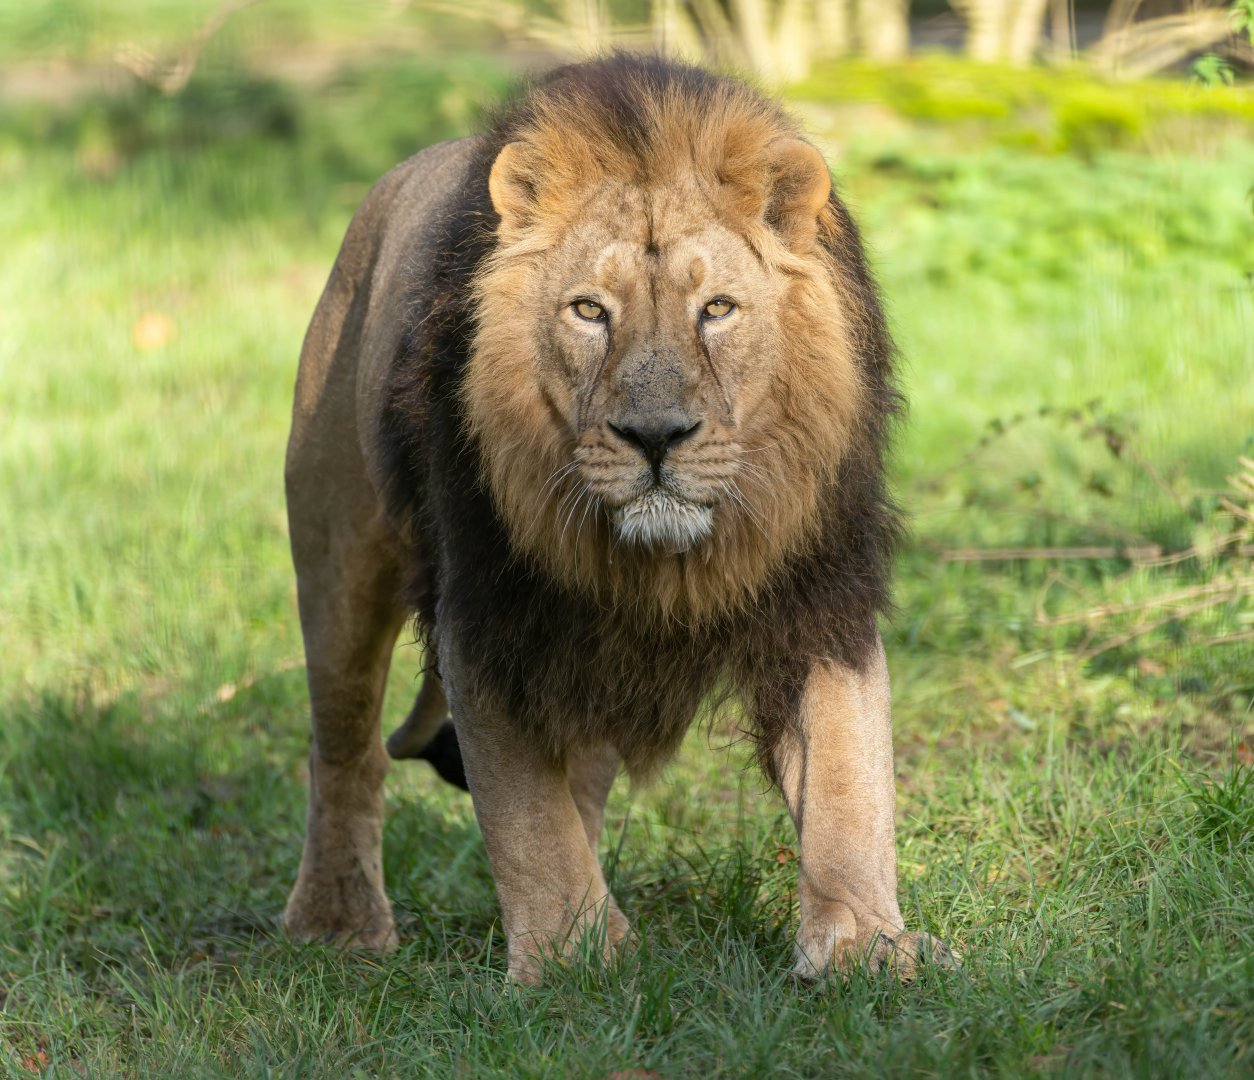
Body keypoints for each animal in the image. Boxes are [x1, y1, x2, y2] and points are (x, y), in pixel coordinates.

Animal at [282, 54, 954, 983]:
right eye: (590, 311)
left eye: (718, 309)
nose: (655, 435)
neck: (662, 563)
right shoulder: (486, 616)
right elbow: (528, 817)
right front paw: (574, 961)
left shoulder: (820, 597)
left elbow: (848, 780)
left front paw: (863, 942)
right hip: (339, 555)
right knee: (344, 749)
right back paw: (338, 923)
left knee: (584, 773)